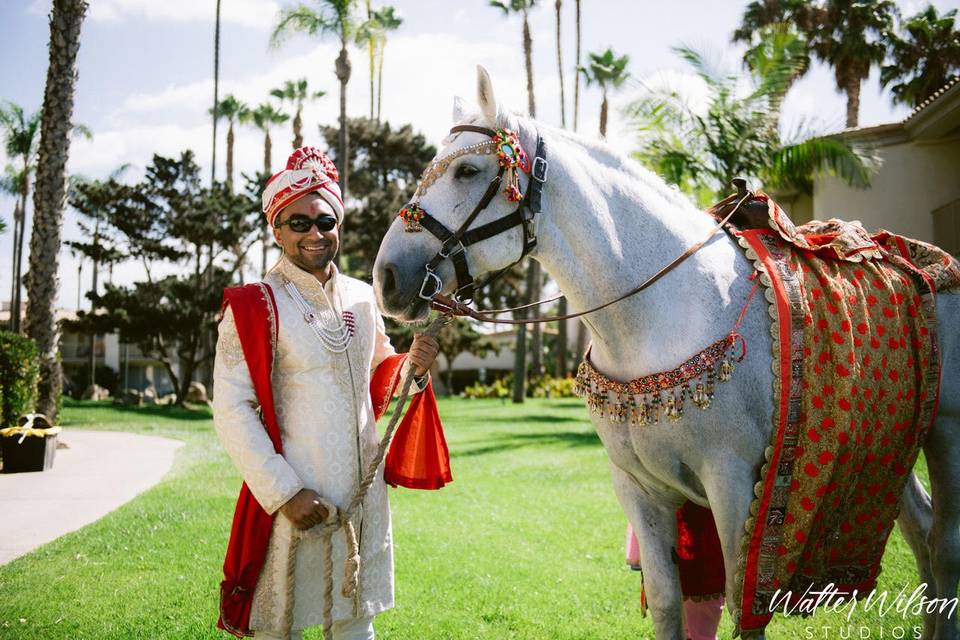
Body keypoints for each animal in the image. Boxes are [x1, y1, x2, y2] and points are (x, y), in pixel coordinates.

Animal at [374, 66, 960, 640]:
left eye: (468, 171)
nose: (387, 278)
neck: (664, 309)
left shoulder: (735, 485)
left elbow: (743, 611)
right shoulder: (639, 489)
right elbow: (665, 602)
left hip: (945, 434)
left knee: (942, 548)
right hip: (883, 441)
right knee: (920, 533)